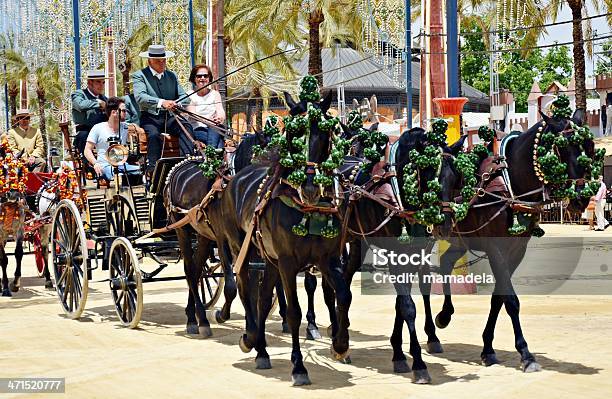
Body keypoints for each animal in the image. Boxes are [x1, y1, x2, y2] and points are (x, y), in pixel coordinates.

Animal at [163, 130, 270, 338]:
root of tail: (180, 165)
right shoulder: (222, 241)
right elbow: (231, 286)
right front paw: (222, 315)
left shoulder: (249, 243)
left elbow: (252, 286)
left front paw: (251, 327)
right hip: (181, 228)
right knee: (190, 270)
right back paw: (197, 321)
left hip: (203, 235)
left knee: (197, 271)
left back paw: (194, 315)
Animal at [204, 92, 350, 386]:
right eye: (292, 133)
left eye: (325, 132)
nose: (309, 187)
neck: (306, 209)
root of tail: (236, 179)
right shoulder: (288, 262)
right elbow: (293, 311)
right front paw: (299, 366)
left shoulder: (329, 259)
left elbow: (343, 295)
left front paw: (339, 345)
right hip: (242, 249)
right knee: (244, 287)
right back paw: (249, 337)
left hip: (269, 259)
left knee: (262, 298)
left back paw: (261, 350)